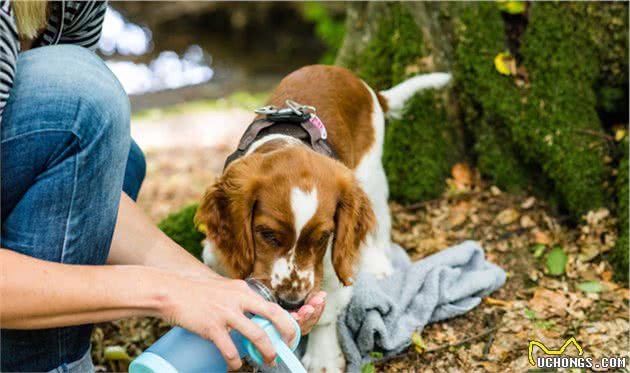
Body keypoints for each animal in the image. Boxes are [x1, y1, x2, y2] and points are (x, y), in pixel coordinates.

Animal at [196, 65, 450, 370]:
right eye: (267, 234)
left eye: (323, 238)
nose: (291, 302)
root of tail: (349, 76)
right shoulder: (217, 254)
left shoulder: (329, 263)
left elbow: (326, 313)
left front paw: (323, 360)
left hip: (370, 173)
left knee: (379, 221)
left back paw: (377, 264)